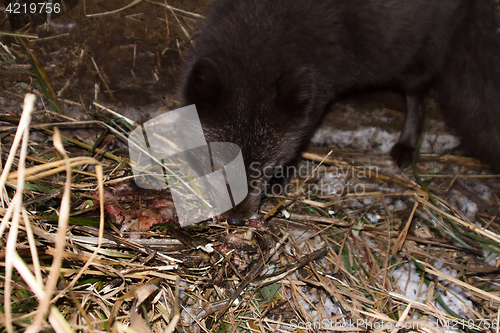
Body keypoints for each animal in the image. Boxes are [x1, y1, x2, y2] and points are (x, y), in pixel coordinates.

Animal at [179, 0, 500, 224]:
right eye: (215, 163)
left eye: (268, 168)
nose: (236, 219)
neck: (261, 34)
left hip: (417, 57)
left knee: (418, 97)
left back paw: (407, 144)